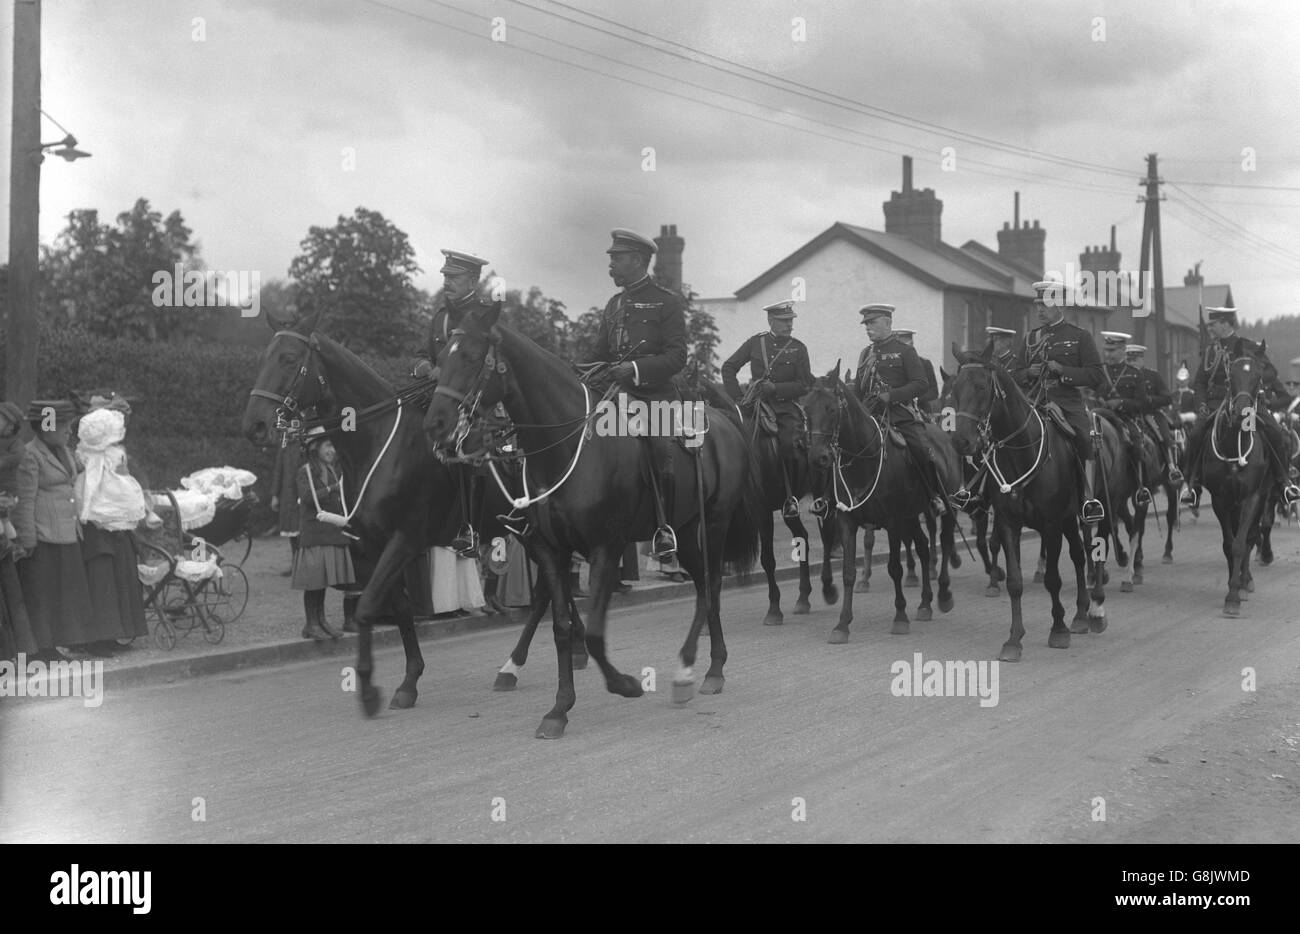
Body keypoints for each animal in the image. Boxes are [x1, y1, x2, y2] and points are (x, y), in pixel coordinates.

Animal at [421, 303, 759, 744]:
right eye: (440, 357)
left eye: (471, 357)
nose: (436, 424)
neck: (568, 446)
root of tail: (725, 422)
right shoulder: (550, 548)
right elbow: (560, 625)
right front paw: (558, 709)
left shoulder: (605, 547)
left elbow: (596, 633)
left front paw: (625, 684)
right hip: (685, 531)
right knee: (704, 586)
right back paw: (689, 669)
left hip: (713, 525)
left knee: (712, 587)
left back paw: (706, 669)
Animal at [800, 366, 956, 645]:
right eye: (806, 409)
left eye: (831, 408)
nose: (819, 457)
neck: (864, 459)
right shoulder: (847, 521)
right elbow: (848, 572)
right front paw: (842, 624)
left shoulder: (893, 521)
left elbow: (895, 568)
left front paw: (900, 617)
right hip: (910, 516)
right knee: (923, 547)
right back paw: (925, 603)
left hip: (940, 507)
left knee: (945, 541)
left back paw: (943, 595)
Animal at [946, 348, 1107, 663]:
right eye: (955, 390)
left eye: (981, 387)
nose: (961, 441)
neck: (1022, 450)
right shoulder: (1009, 523)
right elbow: (1015, 582)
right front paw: (1013, 640)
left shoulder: (1051, 524)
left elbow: (1054, 579)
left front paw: (1058, 630)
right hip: (1067, 520)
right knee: (1078, 556)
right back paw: (1081, 613)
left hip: (1083, 515)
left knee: (1086, 555)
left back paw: (1089, 612)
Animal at [1196, 353, 1268, 619]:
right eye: (1229, 379)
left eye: (1258, 378)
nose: (1242, 414)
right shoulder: (1221, 499)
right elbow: (1229, 544)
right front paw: (1231, 589)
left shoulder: (1252, 498)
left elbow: (1240, 544)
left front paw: (1235, 594)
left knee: (1250, 537)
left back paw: (1245, 581)